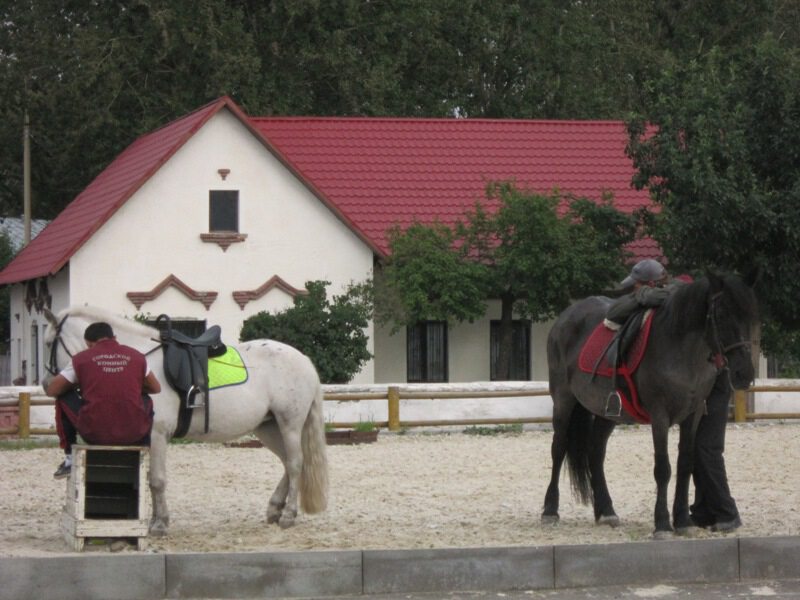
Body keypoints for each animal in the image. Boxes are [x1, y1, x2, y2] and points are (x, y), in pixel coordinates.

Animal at [39, 308, 328, 536]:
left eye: (49, 342)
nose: (46, 384)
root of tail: (303, 359)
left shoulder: (157, 435)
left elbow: (156, 480)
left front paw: (159, 525)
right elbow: (149, 480)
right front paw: (155, 521)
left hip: (289, 424)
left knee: (295, 463)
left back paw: (288, 515)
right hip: (268, 427)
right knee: (288, 463)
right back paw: (274, 509)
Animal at [544, 270, 756, 536]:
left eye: (750, 317)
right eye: (722, 314)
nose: (744, 373)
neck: (681, 349)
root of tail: (566, 316)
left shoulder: (694, 413)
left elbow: (685, 464)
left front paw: (683, 521)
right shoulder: (659, 415)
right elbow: (663, 468)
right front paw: (663, 524)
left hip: (607, 411)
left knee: (596, 453)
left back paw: (606, 511)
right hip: (563, 401)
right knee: (558, 448)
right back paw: (550, 510)